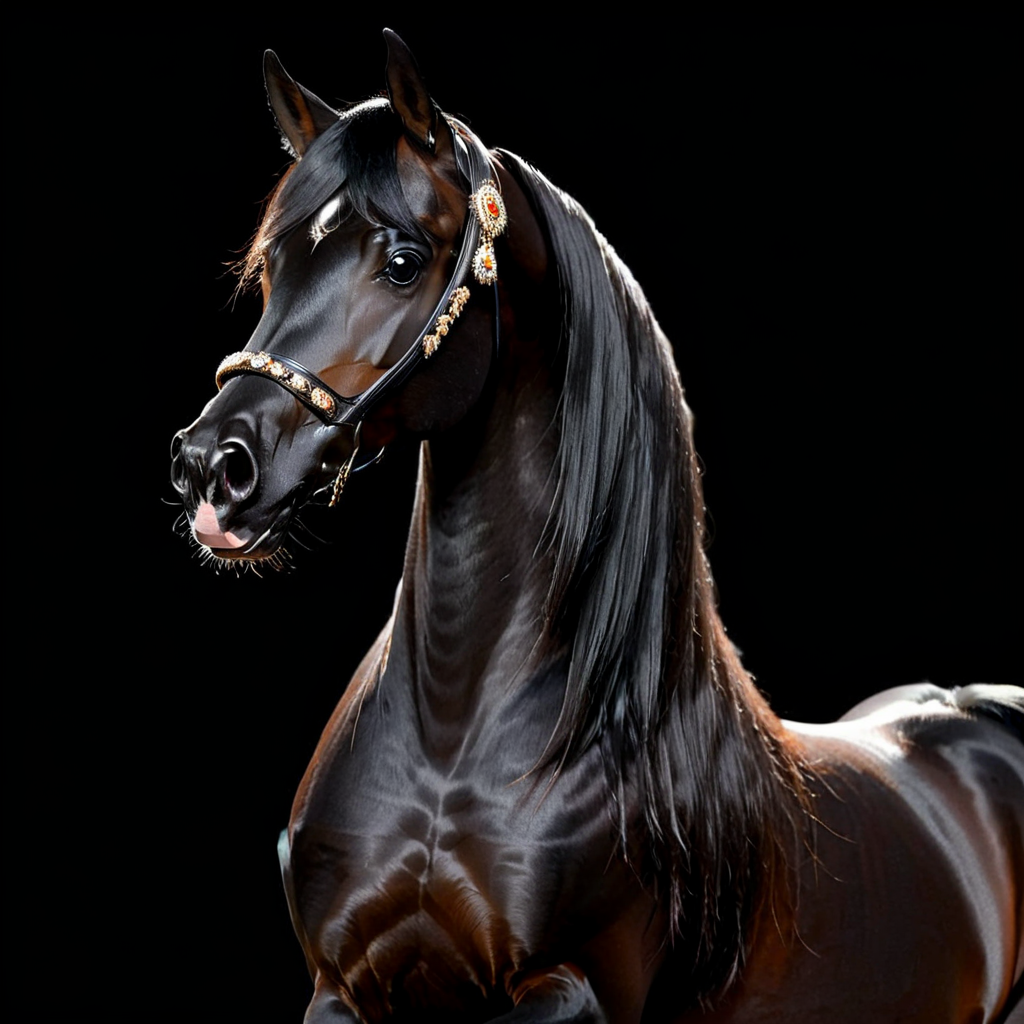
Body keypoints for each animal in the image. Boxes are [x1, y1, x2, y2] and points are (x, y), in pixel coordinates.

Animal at [170, 31, 1024, 1023]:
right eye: (274, 264)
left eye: (403, 260)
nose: (213, 466)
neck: (453, 744)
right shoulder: (342, 987)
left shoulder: (574, 989)